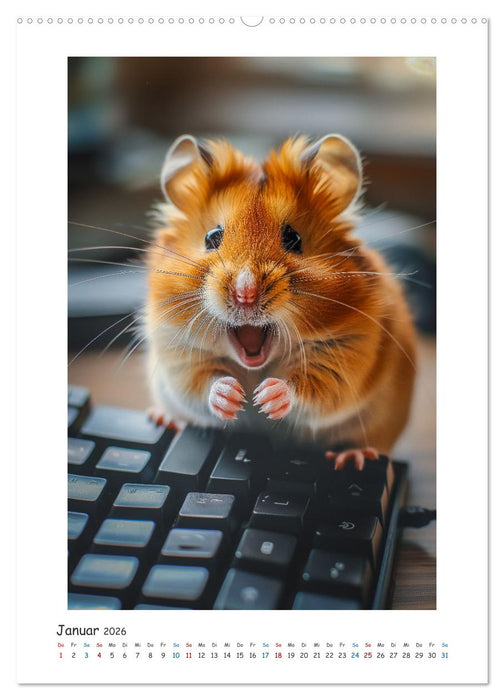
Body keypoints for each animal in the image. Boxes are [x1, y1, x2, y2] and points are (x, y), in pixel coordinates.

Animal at [145, 134, 416, 470]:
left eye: (293, 238)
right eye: (211, 237)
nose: (245, 292)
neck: (256, 365)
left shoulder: (346, 354)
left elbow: (309, 389)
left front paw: (265, 398)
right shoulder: (179, 354)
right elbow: (204, 384)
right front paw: (234, 397)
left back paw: (353, 457)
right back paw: (163, 419)